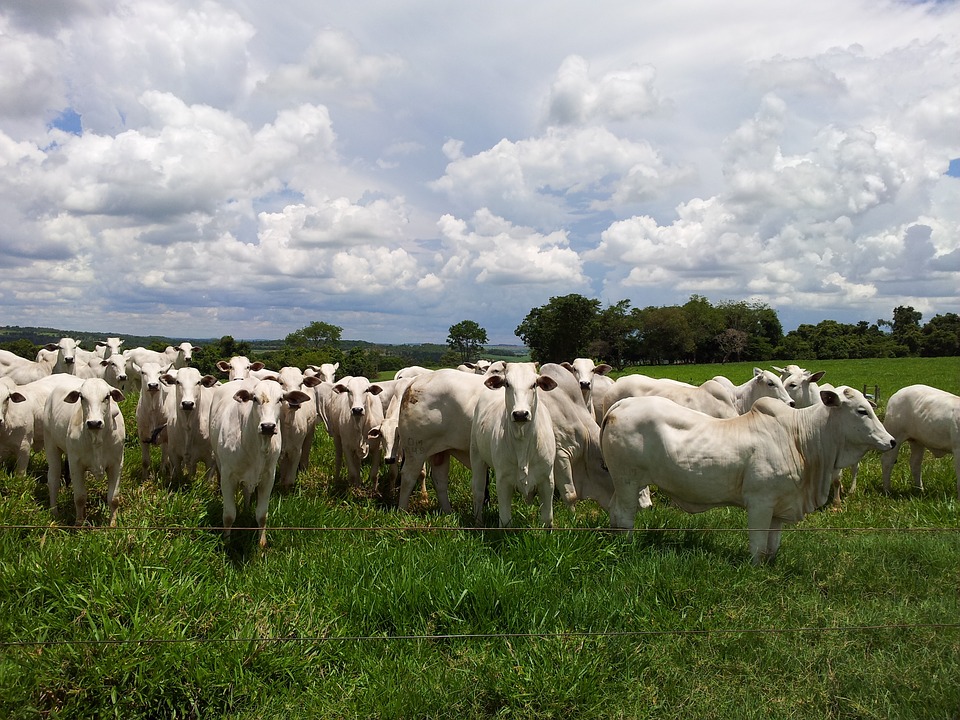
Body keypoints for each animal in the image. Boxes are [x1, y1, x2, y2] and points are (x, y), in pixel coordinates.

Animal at [43, 377, 126, 526]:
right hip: (50, 445)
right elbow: (80, 497)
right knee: (53, 479)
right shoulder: (76, 465)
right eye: (82, 397)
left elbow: (113, 498)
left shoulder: (117, 464)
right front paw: (79, 524)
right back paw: (55, 513)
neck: (96, 438)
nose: (94, 423)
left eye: (107, 396)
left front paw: (113, 524)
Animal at [209, 378, 311, 547]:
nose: (268, 426)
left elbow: (262, 515)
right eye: (255, 399)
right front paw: (226, 542)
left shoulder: (268, 477)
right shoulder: (227, 477)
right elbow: (229, 514)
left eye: (280, 399)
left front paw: (261, 543)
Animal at [470, 362, 558, 528]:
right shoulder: (503, 481)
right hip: (476, 457)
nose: (520, 414)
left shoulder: (547, 480)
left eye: (534, 384)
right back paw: (478, 522)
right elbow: (505, 521)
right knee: (478, 493)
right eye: (507, 384)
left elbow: (547, 519)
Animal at [600, 386, 896, 564]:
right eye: (861, 411)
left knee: (614, 510)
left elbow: (773, 545)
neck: (800, 437)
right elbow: (758, 545)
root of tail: (620, 405)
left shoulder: (780, 506)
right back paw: (626, 546)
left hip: (621, 483)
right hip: (628, 480)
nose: (891, 441)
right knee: (625, 515)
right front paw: (756, 567)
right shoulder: (760, 502)